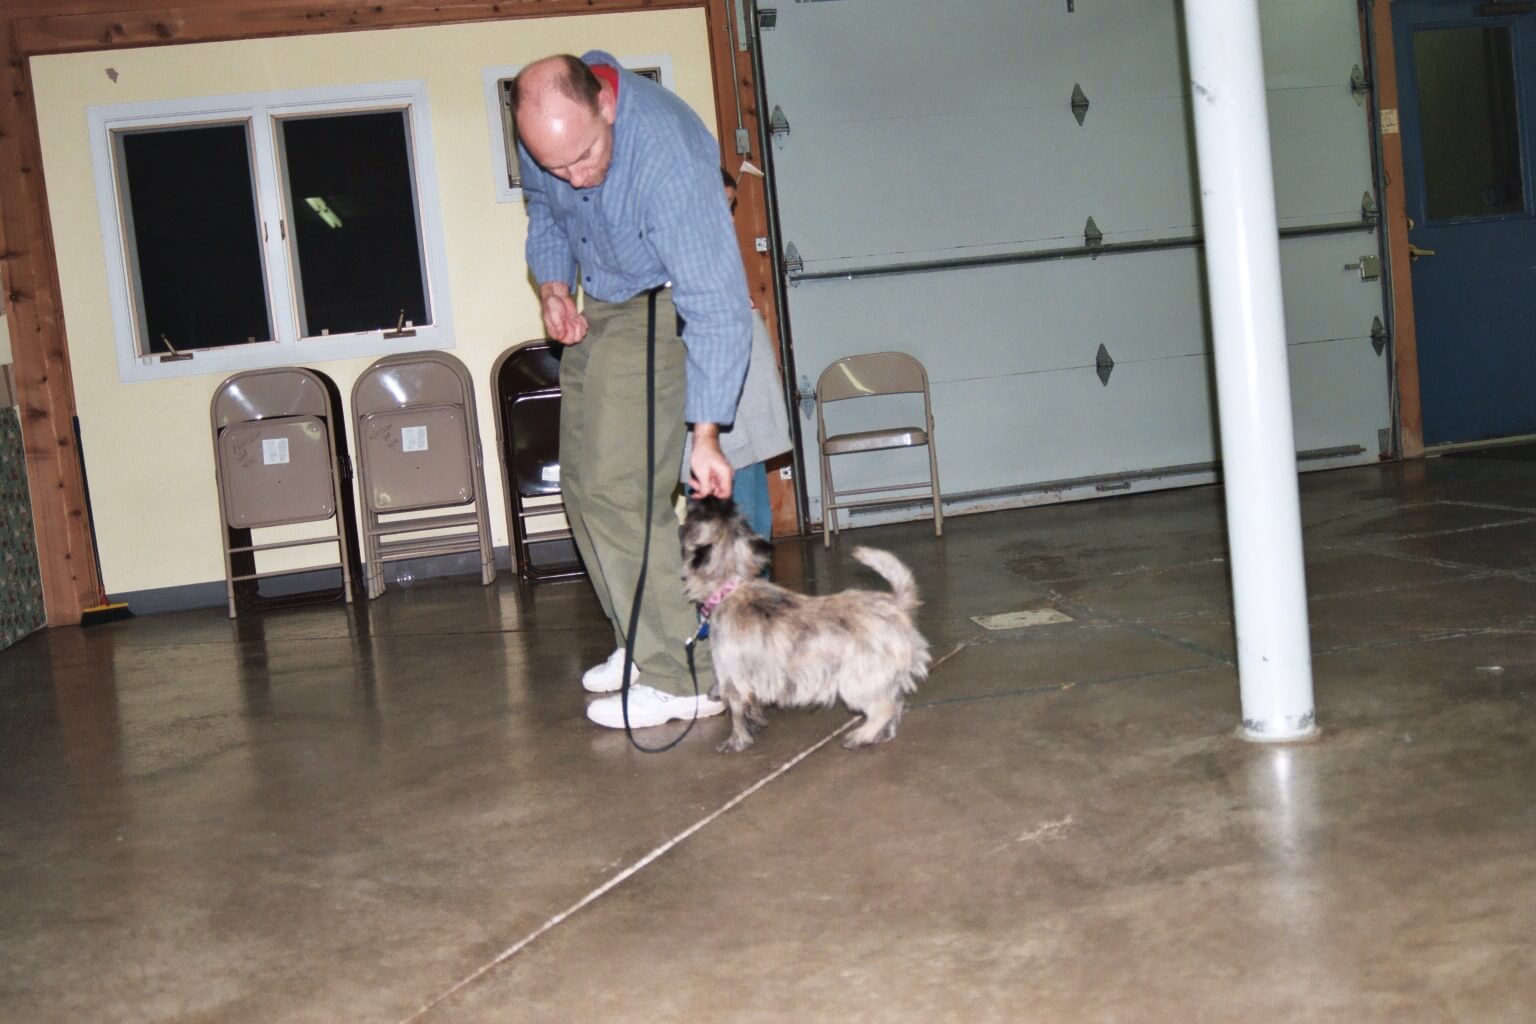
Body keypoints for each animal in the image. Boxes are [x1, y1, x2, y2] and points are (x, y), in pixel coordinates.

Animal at [681, 497, 921, 752]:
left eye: (697, 515)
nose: (701, 497)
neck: (729, 587)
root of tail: (896, 604)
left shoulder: (733, 678)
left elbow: (736, 713)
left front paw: (735, 741)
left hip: (857, 682)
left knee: (884, 708)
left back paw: (861, 735)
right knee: (894, 704)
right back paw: (880, 734)